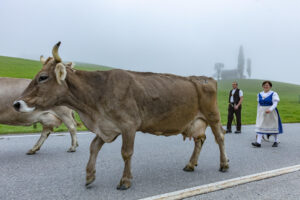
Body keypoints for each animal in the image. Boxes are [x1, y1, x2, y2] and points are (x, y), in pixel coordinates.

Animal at [14, 41, 229, 189]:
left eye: (43, 77)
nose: (16, 103)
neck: (93, 104)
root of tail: (204, 78)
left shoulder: (128, 125)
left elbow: (126, 153)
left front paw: (125, 181)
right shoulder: (106, 126)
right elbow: (93, 147)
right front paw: (89, 176)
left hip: (213, 115)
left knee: (219, 137)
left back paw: (224, 164)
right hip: (196, 120)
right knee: (200, 140)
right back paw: (191, 164)